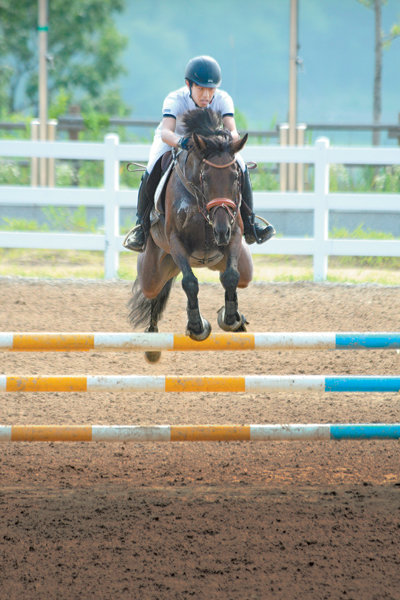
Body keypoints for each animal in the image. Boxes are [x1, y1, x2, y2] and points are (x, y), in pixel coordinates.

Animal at [128, 108, 253, 360]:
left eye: (236, 177)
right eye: (205, 177)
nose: (220, 231)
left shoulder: (234, 234)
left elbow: (231, 277)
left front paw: (230, 319)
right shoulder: (176, 242)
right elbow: (190, 283)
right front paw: (197, 326)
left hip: (227, 262)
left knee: (238, 277)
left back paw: (235, 318)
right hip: (153, 271)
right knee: (154, 292)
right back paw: (152, 343)